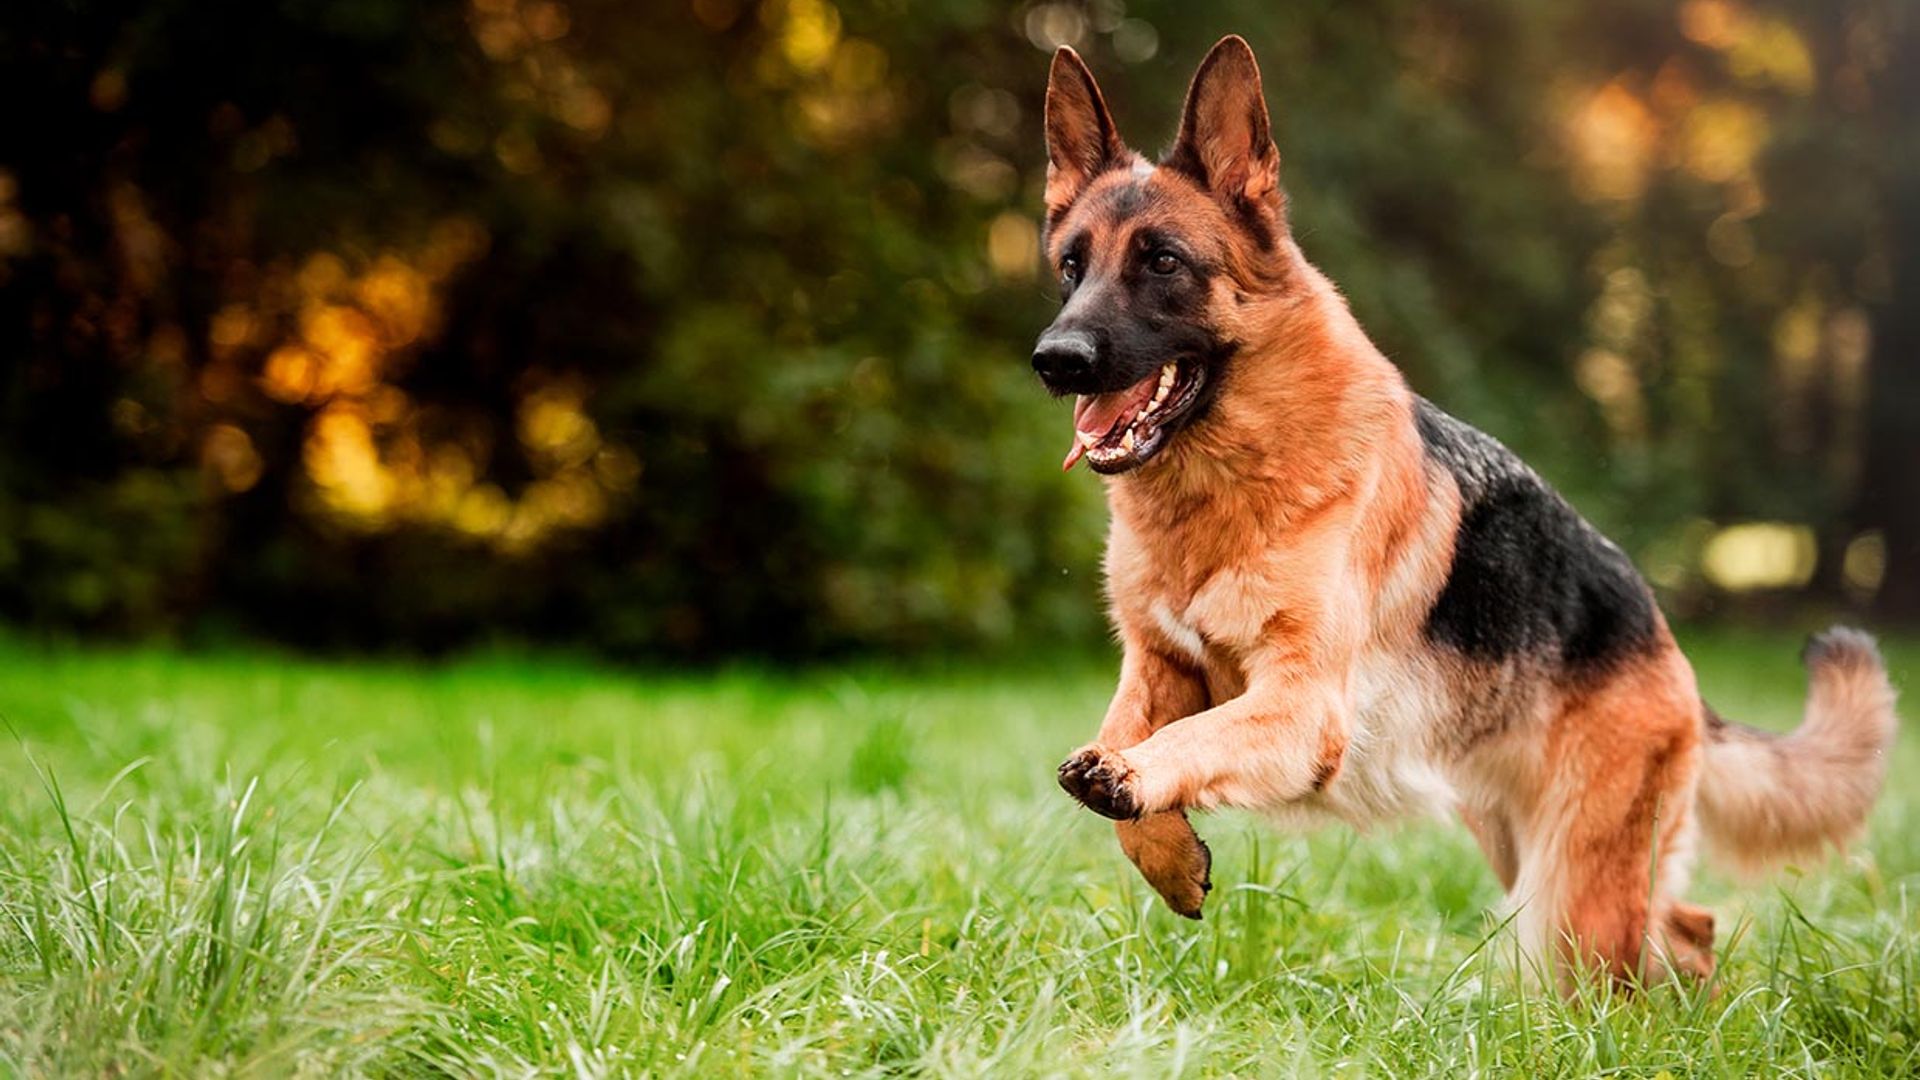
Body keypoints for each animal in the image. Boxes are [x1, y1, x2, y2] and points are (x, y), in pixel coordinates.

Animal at [1029, 37, 1896, 983]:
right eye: (1072, 266)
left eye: (1163, 262)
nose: (1054, 360)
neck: (1227, 488)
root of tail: (1665, 640)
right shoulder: (1158, 668)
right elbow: (1121, 748)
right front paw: (1167, 852)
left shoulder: (1301, 707)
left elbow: (1179, 747)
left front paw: (1136, 784)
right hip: (1529, 848)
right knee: (1686, 924)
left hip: (1572, 889)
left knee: (1635, 956)